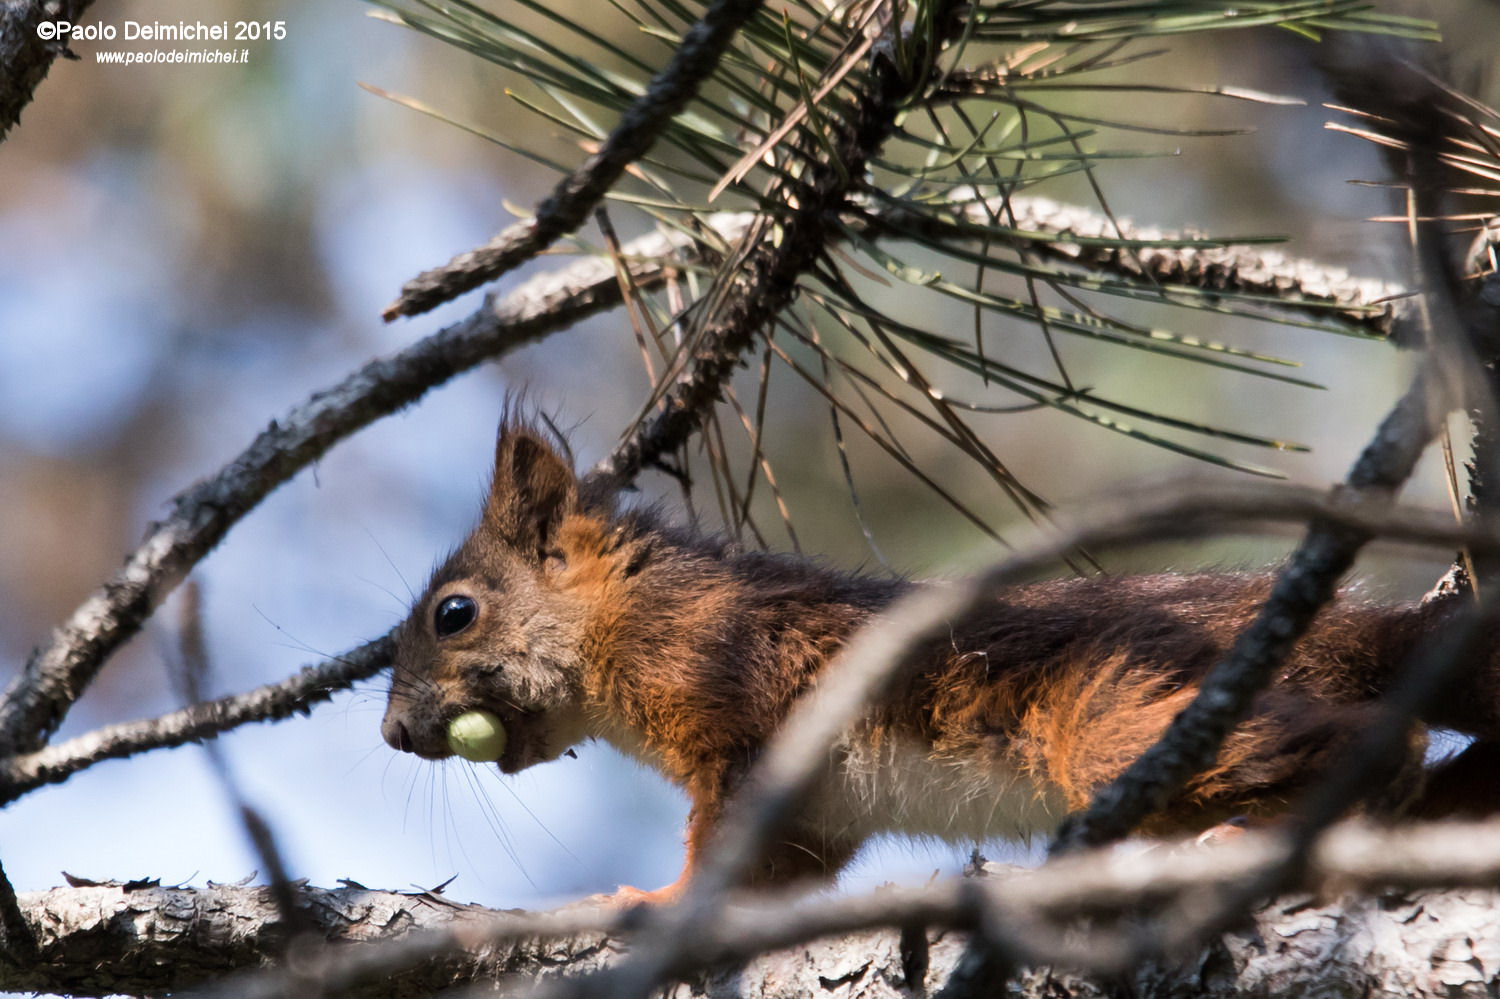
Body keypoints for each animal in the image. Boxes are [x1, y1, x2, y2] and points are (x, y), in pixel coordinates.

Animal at [381, 418, 1490, 904]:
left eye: (454, 613)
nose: (392, 732)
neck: (643, 611)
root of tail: (1354, 631)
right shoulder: (817, 817)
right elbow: (775, 876)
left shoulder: (738, 707)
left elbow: (722, 850)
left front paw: (651, 904)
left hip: (1129, 721)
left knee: (1377, 745)